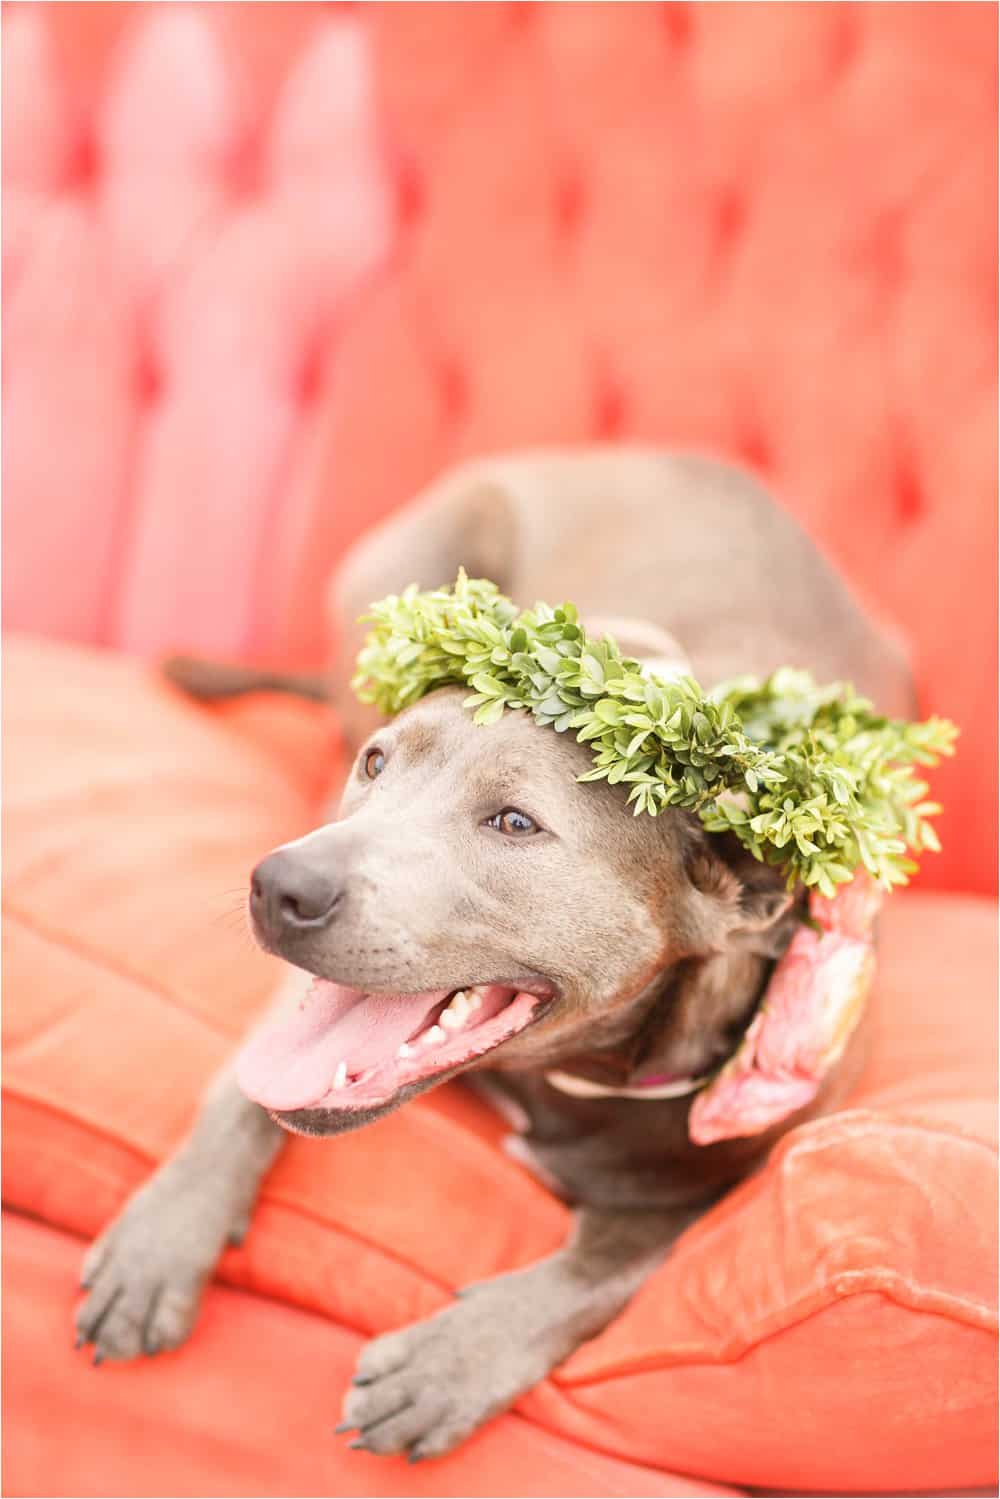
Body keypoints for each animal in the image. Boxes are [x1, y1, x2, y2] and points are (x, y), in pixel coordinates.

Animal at [74, 449, 911, 1457]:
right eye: (378, 763)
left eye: (514, 822)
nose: (278, 884)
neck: (570, 1076)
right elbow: (242, 1090)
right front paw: (163, 1237)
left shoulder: (714, 1186)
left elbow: (604, 1269)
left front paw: (451, 1361)